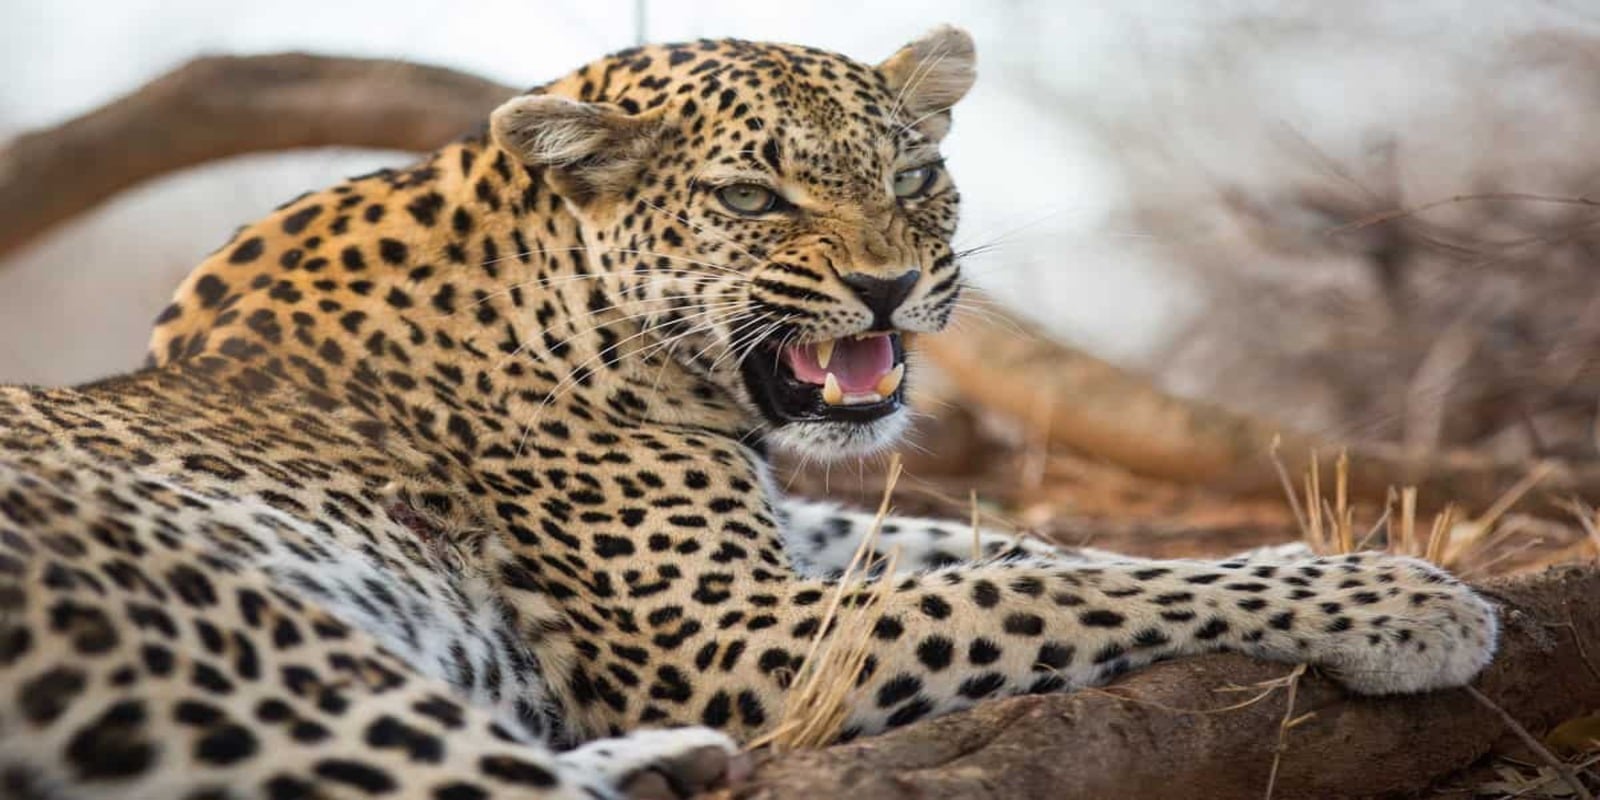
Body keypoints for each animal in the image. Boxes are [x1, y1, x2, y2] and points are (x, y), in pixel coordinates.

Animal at [0, 25, 1498, 800]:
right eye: (750, 198)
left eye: (913, 175)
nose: (890, 284)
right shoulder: (720, 628)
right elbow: (1044, 593)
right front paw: (1403, 604)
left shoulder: (784, 540)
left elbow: (1028, 550)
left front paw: (1355, 557)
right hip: (229, 631)